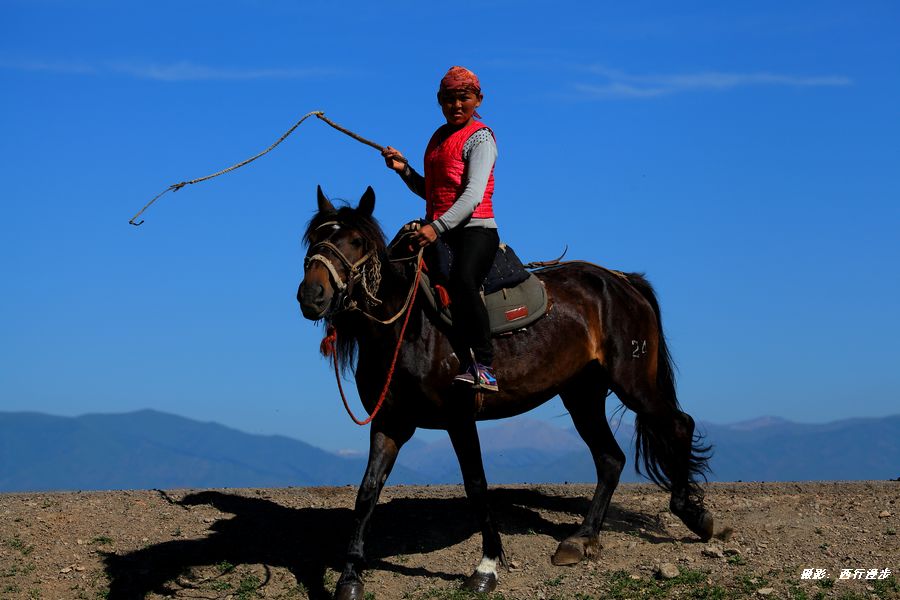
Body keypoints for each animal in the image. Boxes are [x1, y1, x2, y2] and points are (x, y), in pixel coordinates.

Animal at [298, 188, 712, 600]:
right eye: (314, 237)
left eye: (356, 241)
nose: (311, 295)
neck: (408, 326)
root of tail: (622, 281)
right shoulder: (390, 422)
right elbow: (367, 492)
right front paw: (350, 576)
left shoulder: (459, 418)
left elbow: (477, 486)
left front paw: (487, 566)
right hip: (583, 394)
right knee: (611, 458)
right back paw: (581, 539)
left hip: (632, 381)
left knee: (679, 424)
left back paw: (695, 515)